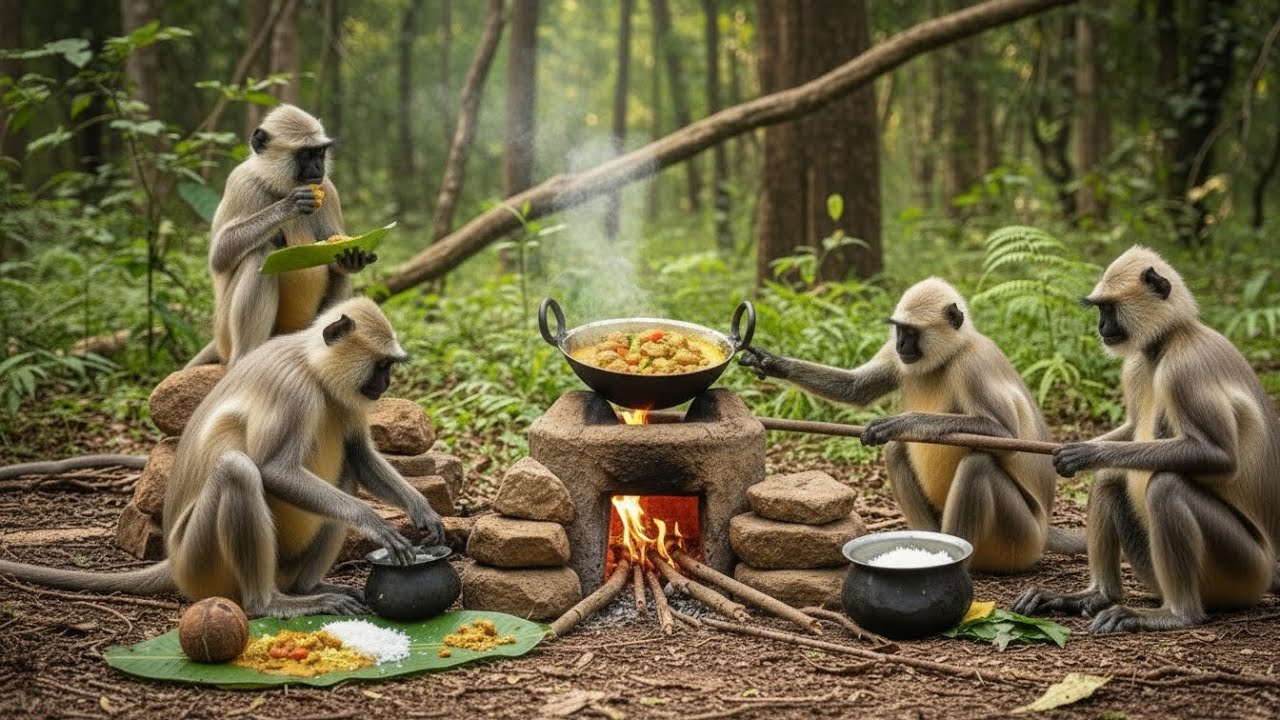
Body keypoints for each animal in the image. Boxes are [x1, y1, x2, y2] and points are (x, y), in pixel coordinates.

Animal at [0, 297, 445, 618]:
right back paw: (271, 604)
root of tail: (174, 560)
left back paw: (308, 588)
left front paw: (422, 511)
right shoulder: (293, 389)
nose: (385, 383)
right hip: (200, 559)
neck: (310, 365)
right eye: (382, 365)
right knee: (238, 471)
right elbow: (272, 469)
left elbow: (362, 457)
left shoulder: (346, 395)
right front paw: (377, 525)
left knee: (347, 471)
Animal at [186, 104, 376, 368]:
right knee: (258, 254)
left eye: (319, 153)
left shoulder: (327, 188)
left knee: (340, 276)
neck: (279, 186)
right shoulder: (241, 181)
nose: (318, 168)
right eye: (306, 155)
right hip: (225, 333)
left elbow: (336, 258)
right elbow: (219, 257)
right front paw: (290, 206)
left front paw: (353, 258)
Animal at [739, 277, 1084, 572]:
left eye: (911, 332)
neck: (949, 355)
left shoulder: (972, 362)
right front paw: (769, 361)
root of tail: (1044, 532)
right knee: (896, 451)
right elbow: (856, 389)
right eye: (899, 330)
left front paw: (897, 423)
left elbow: (1006, 435)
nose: (901, 344)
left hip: (1020, 539)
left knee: (977, 466)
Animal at [1013, 246, 1280, 633]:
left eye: (1109, 309)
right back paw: (1096, 596)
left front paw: (1088, 452)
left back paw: (1176, 614)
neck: (1165, 343)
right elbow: (1132, 427)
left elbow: (1220, 456)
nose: (1101, 327)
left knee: (1166, 486)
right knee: (1110, 478)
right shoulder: (1137, 364)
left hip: (1244, 568)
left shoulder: (1185, 367)